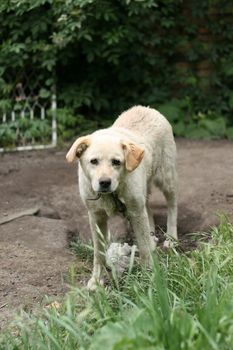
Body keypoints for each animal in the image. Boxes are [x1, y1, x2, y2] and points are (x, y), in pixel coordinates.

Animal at [66, 104, 177, 290]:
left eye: (116, 162)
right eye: (93, 161)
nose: (104, 182)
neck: (112, 194)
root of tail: (146, 108)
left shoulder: (135, 212)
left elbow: (144, 248)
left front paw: (148, 276)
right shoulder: (96, 217)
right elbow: (99, 253)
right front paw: (96, 281)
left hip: (167, 179)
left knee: (172, 207)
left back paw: (171, 238)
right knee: (148, 210)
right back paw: (153, 236)